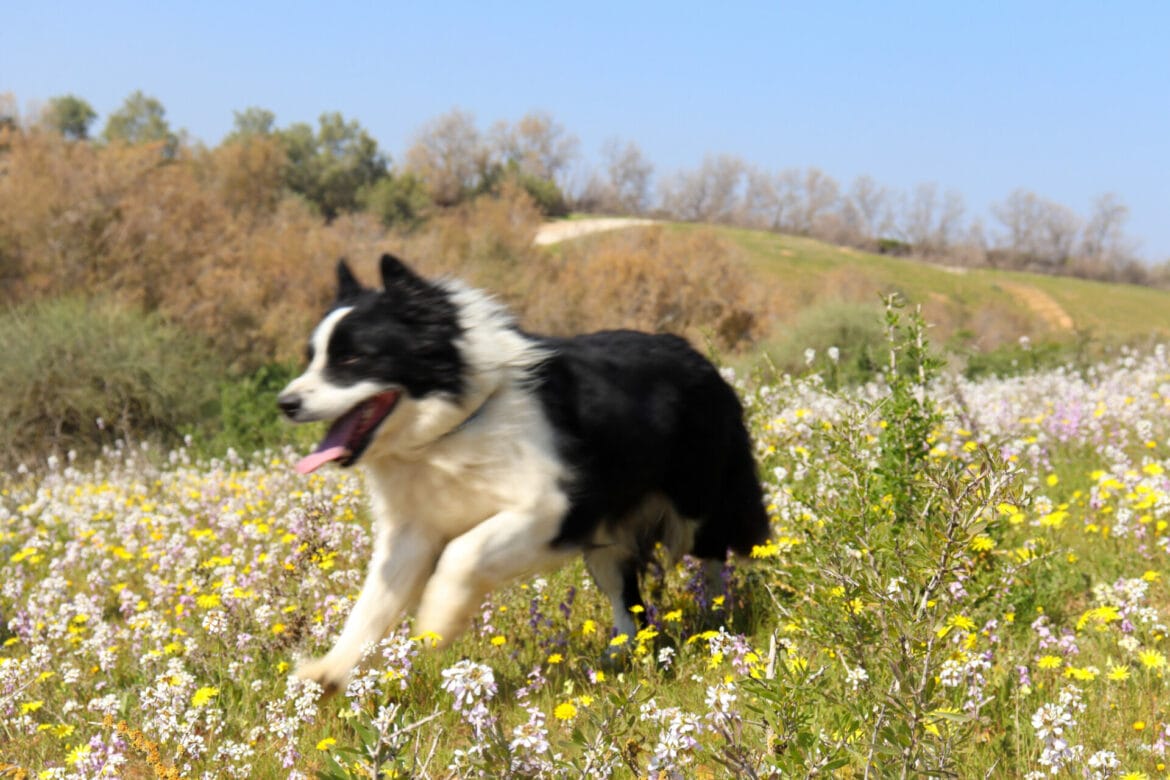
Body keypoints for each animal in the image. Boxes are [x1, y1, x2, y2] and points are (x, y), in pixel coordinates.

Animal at [276, 256, 767, 687]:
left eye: (354, 359)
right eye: (313, 357)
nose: (286, 403)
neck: (454, 422)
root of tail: (698, 357)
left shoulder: (554, 506)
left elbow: (462, 553)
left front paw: (438, 620)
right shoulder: (413, 529)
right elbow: (373, 602)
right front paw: (329, 672)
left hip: (696, 498)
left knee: (713, 552)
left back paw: (717, 617)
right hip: (609, 537)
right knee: (627, 596)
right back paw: (621, 656)